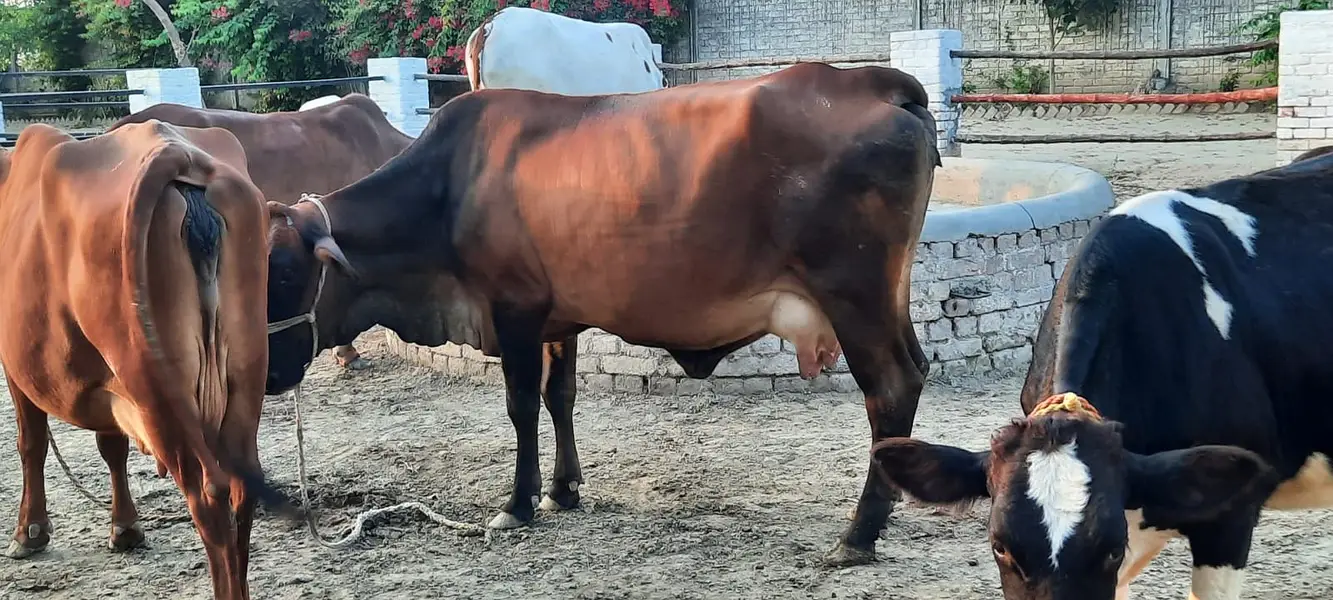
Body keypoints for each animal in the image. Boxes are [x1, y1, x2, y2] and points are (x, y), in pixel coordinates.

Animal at [0, 121, 298, 599]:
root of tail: (179, 154)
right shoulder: (105, 383)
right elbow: (111, 445)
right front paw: (125, 527)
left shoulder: (16, 368)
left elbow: (31, 443)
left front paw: (29, 532)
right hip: (242, 378)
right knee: (242, 487)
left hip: (154, 389)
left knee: (208, 497)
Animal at [263, 62, 941, 566]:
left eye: (287, 274)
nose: (267, 373)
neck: (447, 188)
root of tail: (878, 82)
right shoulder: (556, 319)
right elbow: (559, 396)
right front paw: (563, 489)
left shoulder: (514, 309)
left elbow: (520, 405)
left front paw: (518, 503)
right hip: (888, 299)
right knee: (914, 371)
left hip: (853, 295)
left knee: (889, 388)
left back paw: (857, 535)